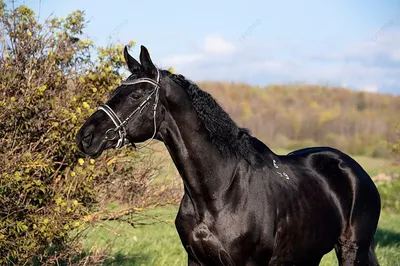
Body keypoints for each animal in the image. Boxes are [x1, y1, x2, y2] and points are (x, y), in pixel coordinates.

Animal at [76, 44, 382, 264]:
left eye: (136, 95)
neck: (219, 191)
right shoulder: (197, 260)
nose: (85, 137)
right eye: (116, 90)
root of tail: (355, 171)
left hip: (351, 249)